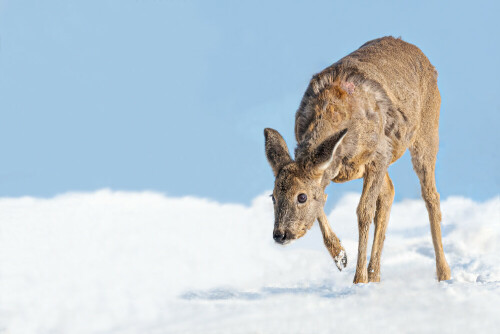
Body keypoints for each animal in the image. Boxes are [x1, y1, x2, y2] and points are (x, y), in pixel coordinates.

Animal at [266, 36, 454, 282]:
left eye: (301, 197)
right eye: (273, 196)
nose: (280, 234)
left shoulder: (379, 154)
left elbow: (363, 211)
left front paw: (359, 280)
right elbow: (324, 199)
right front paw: (340, 256)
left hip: (426, 133)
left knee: (430, 196)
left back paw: (443, 273)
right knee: (389, 192)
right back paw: (376, 275)